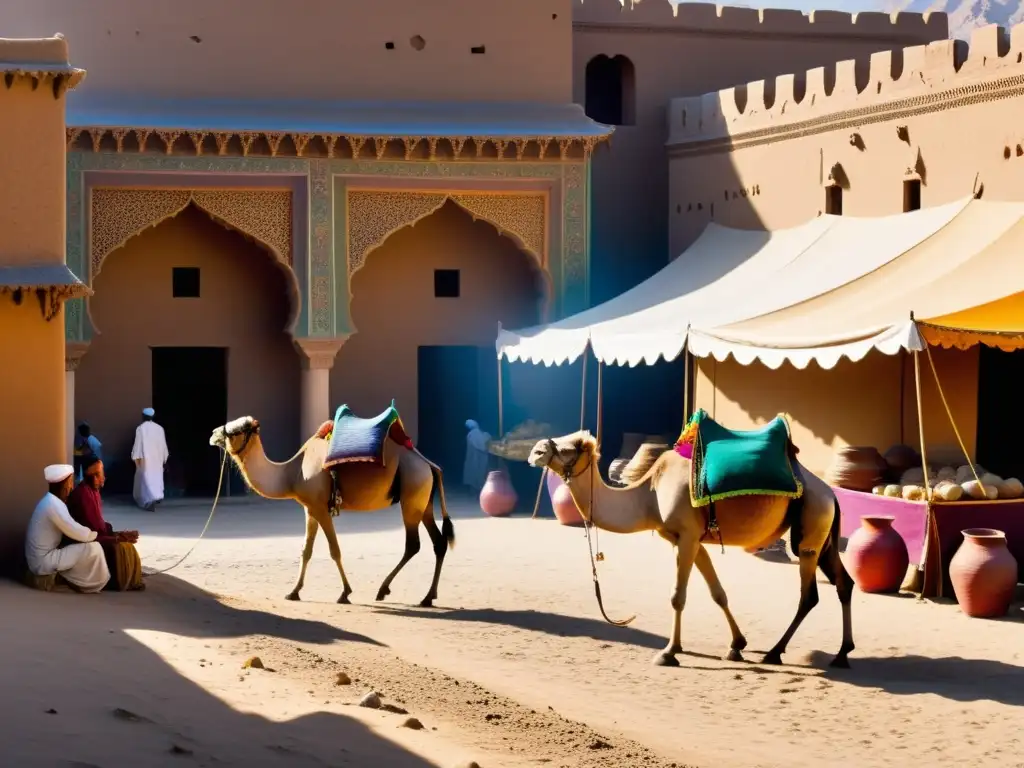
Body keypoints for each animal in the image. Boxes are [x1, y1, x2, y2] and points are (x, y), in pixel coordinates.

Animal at [209, 417, 454, 610]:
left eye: (235, 430)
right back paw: (427, 597)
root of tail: (430, 466)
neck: (292, 473)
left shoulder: (321, 508)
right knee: (439, 542)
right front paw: (293, 592)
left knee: (413, 544)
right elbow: (306, 551)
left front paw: (345, 593)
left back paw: (384, 590)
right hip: (423, 501)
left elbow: (334, 550)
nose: (212, 434)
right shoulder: (310, 509)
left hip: (412, 494)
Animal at [528, 430, 856, 671]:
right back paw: (841, 654)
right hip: (823, 537)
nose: (535, 452)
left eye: (568, 448)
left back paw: (775, 652)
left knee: (809, 595)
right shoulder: (691, 540)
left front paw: (669, 652)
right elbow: (718, 592)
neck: (649, 494)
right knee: (844, 583)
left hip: (810, 531)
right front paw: (736, 645)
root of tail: (831, 493)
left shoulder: (686, 536)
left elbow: (678, 596)